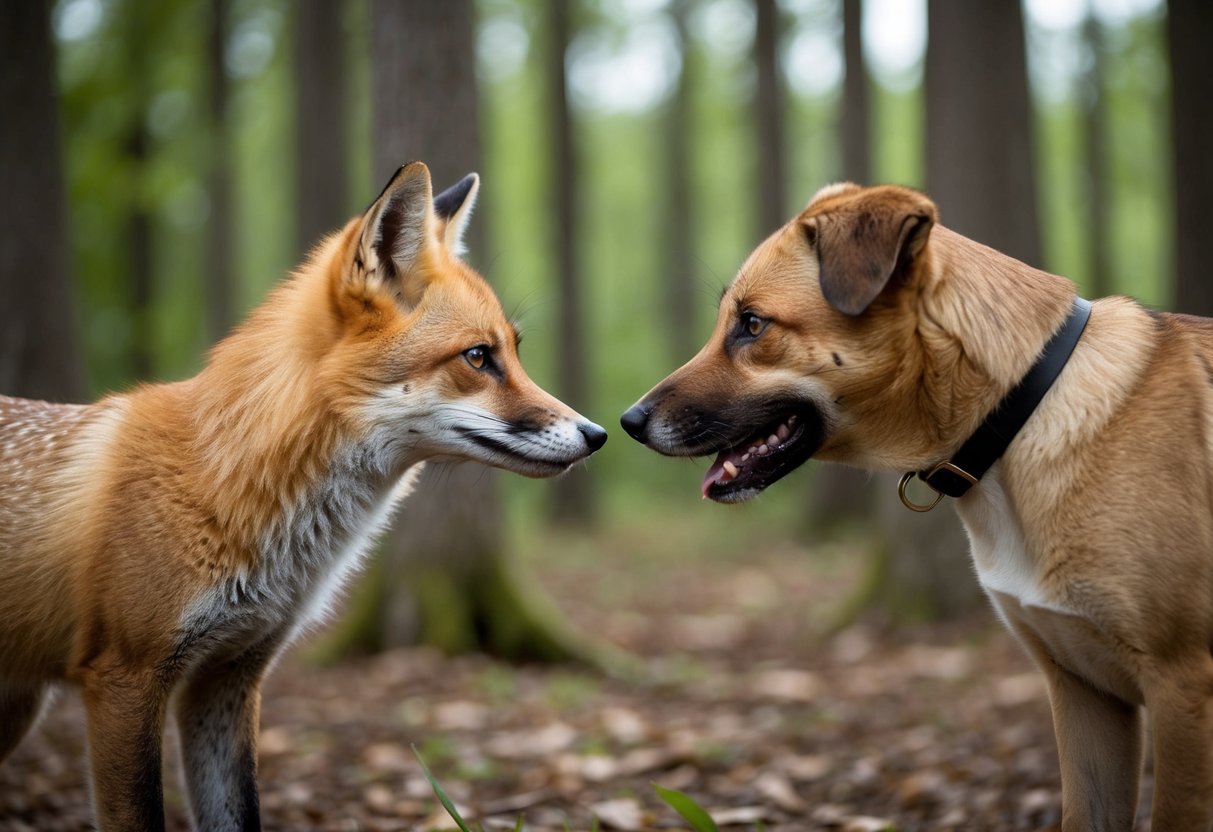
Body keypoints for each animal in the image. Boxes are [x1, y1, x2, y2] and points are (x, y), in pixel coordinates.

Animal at [0, 161, 607, 831]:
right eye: (478, 357)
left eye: (515, 353)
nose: (598, 434)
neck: (229, 481)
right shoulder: (125, 680)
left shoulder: (229, 678)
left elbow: (240, 814)